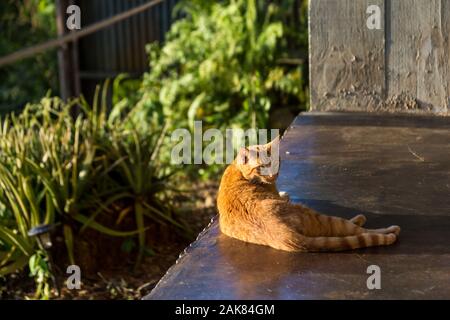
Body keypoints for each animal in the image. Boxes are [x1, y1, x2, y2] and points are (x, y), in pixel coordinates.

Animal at [218, 138, 400, 252]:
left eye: (276, 162)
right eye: (261, 167)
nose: (273, 175)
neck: (239, 171)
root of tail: (283, 234)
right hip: (318, 217)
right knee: (357, 231)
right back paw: (387, 230)